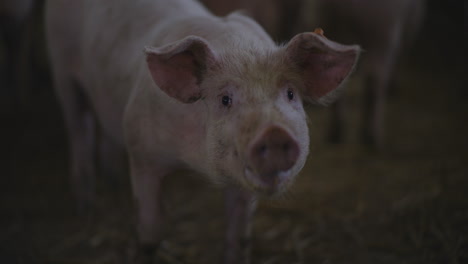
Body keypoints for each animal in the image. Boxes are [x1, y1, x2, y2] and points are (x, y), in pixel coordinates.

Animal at [44, 0, 358, 264]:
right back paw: (85, 206)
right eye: (225, 99)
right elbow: (151, 231)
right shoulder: (141, 150)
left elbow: (240, 238)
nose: (274, 133)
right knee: (79, 129)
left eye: (291, 93)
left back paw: (112, 182)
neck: (194, 163)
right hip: (61, 68)